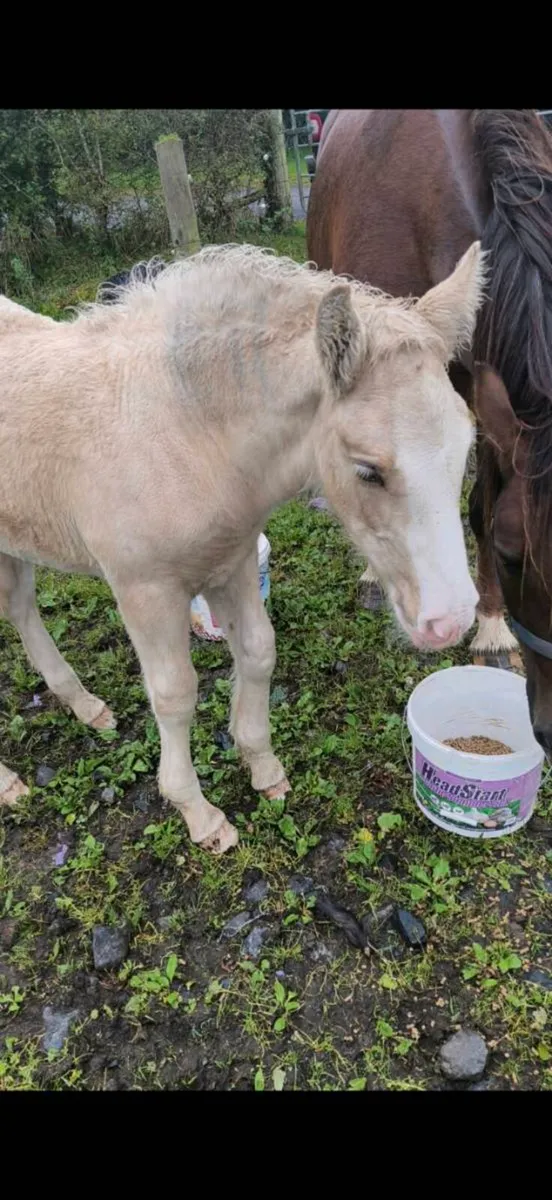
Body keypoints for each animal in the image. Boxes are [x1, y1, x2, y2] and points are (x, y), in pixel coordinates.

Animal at [0, 242, 483, 852]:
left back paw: (86, 708)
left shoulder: (231, 561)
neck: (187, 431)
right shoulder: (144, 589)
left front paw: (263, 768)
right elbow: (175, 693)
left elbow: (257, 651)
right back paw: (9, 782)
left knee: (19, 607)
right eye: (368, 470)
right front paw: (199, 814)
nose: (451, 622)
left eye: (466, 446)